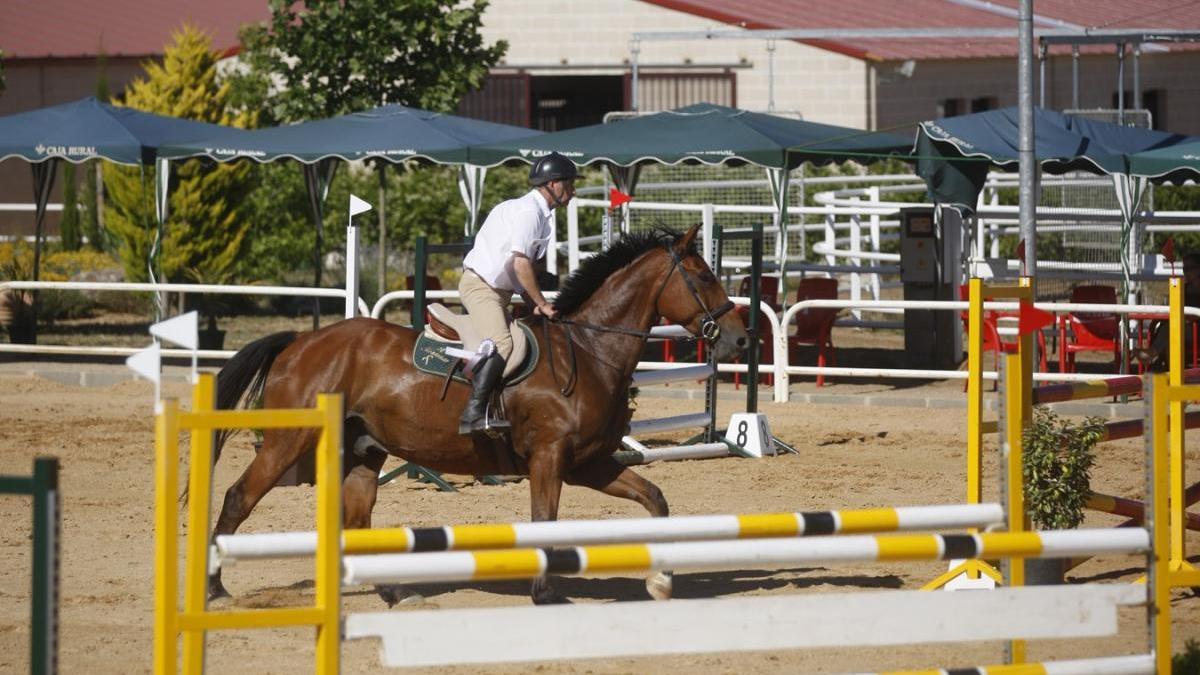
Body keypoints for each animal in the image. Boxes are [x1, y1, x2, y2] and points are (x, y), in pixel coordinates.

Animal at [211, 223, 744, 600]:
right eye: (704, 276)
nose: (740, 338)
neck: (590, 349)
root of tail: (299, 341)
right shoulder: (549, 459)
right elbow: (544, 521)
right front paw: (543, 592)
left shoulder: (588, 463)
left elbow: (655, 500)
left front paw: (662, 580)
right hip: (289, 440)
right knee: (239, 498)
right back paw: (216, 587)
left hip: (363, 451)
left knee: (356, 519)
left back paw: (391, 591)